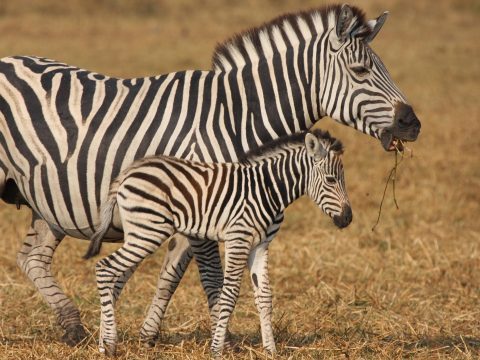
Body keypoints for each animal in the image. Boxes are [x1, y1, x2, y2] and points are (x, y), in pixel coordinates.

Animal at [84, 129, 350, 354]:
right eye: (330, 180)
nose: (348, 218)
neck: (267, 189)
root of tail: (127, 173)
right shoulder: (238, 238)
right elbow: (229, 294)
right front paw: (216, 350)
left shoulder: (260, 245)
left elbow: (264, 296)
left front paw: (271, 350)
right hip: (148, 232)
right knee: (104, 268)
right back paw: (109, 345)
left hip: (140, 233)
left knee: (114, 276)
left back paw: (104, 343)